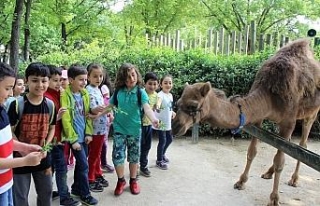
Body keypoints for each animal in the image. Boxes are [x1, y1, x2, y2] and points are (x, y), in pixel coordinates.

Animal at [172, 38, 320, 204]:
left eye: (193, 105)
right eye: (178, 103)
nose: (175, 127)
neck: (270, 95)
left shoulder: (289, 121)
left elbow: (279, 162)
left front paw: (274, 199)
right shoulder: (259, 118)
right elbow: (252, 152)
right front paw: (241, 181)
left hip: (311, 114)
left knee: (302, 144)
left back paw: (294, 179)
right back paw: (268, 173)